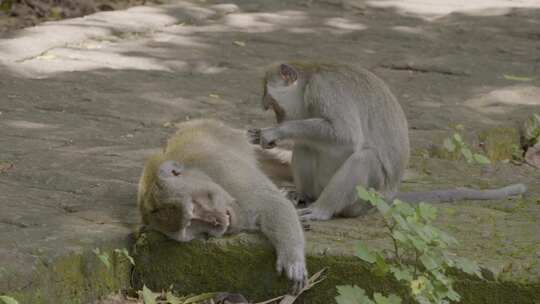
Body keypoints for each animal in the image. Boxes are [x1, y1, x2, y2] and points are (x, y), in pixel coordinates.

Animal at [138, 119, 308, 292]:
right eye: (192, 225)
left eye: (195, 205)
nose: (217, 223)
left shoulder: (224, 170)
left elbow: (273, 203)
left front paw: (291, 257)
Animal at [250, 62, 528, 221]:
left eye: (272, 104)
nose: (272, 112)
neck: (307, 82)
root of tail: (389, 197)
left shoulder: (325, 90)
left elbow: (345, 135)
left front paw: (276, 132)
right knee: (306, 144)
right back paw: (305, 196)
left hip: (366, 199)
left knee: (365, 159)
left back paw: (322, 209)